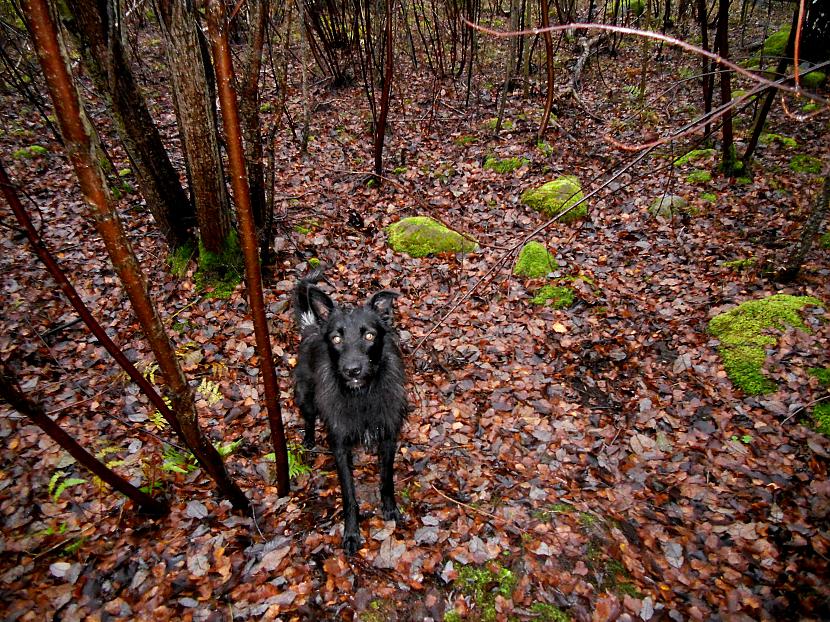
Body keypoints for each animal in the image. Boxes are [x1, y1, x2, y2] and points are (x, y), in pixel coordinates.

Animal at [294, 272, 408, 556]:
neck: (362, 395)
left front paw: (390, 509)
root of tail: (312, 328)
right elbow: (348, 495)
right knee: (309, 417)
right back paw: (309, 440)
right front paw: (351, 533)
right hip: (306, 397)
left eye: (369, 336)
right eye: (336, 339)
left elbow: (387, 480)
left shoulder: (388, 436)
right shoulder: (340, 446)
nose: (352, 370)